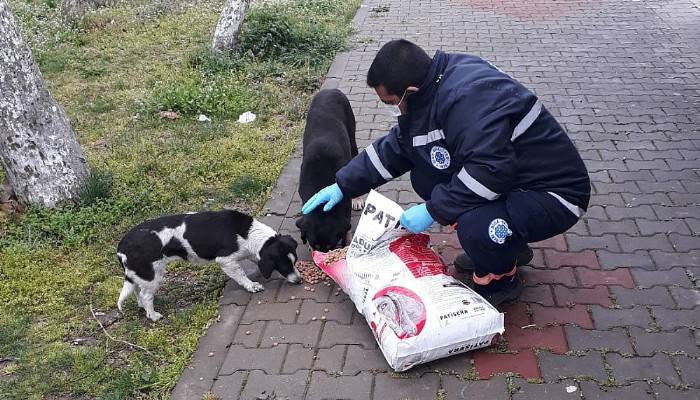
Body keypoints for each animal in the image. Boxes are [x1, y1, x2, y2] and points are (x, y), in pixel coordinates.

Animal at [115, 211, 300, 320]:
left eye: (295, 262)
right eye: (285, 266)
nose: (299, 281)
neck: (248, 233)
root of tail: (122, 246)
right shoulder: (226, 261)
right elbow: (241, 275)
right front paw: (252, 286)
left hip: (140, 275)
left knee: (138, 291)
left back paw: (142, 307)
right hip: (152, 274)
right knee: (146, 296)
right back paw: (153, 315)